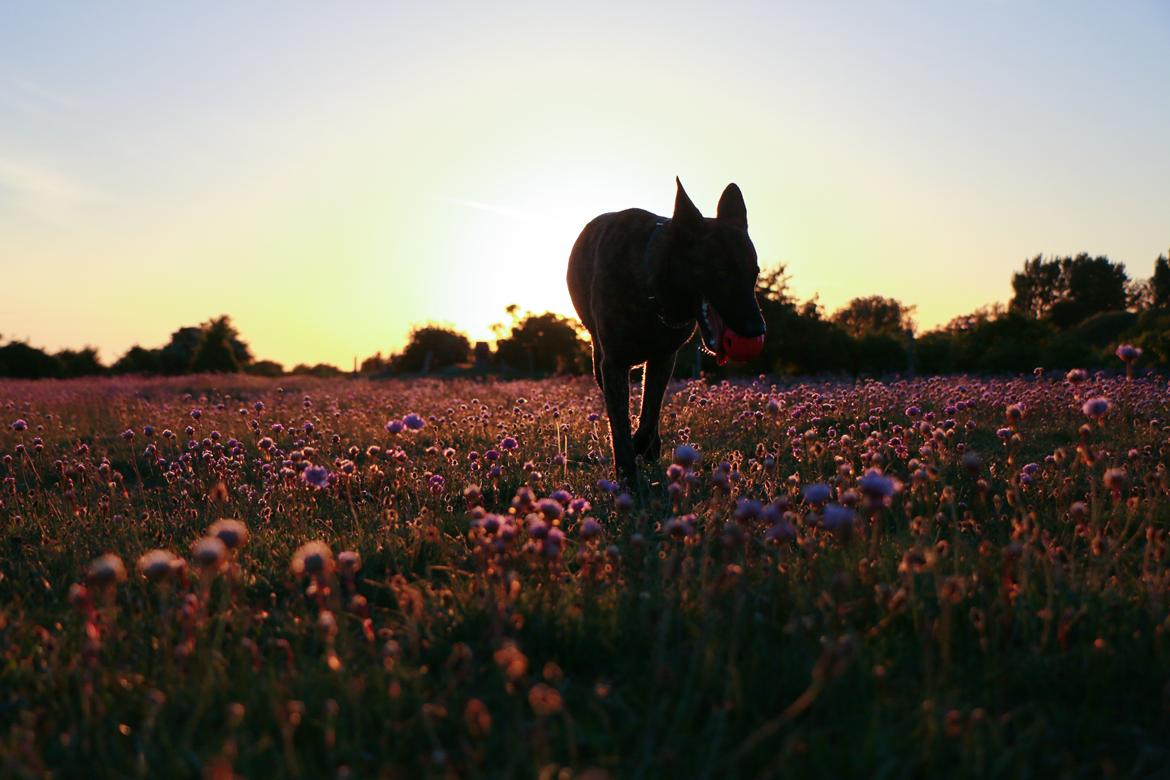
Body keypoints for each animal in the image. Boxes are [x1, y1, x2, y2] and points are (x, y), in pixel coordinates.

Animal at [566, 178, 767, 481]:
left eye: (754, 273)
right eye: (721, 272)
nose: (757, 330)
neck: (653, 289)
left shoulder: (663, 359)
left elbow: (651, 409)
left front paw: (646, 446)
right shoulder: (613, 363)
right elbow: (620, 426)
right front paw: (628, 476)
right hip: (597, 356)